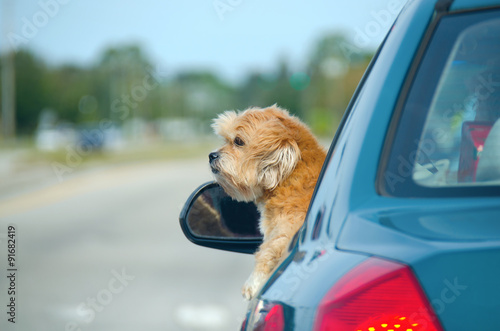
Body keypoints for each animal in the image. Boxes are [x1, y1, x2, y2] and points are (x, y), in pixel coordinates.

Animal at [209, 105, 326, 300]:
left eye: (238, 141)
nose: (212, 155)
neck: (289, 175)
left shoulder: (288, 228)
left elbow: (268, 251)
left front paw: (254, 282)